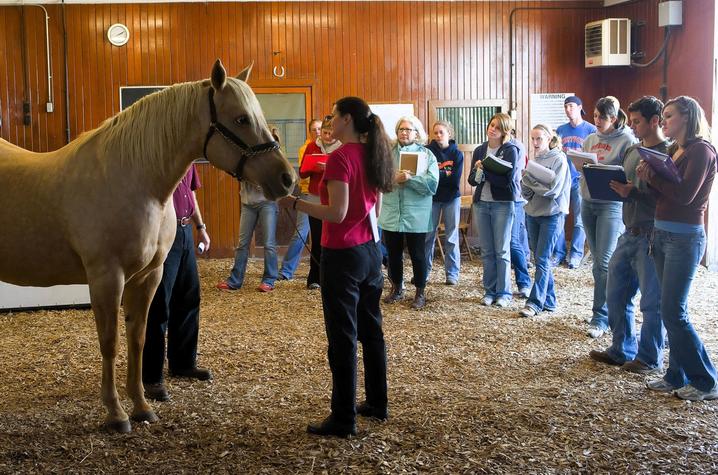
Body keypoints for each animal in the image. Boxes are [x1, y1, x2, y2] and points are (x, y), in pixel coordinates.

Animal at [0, 58, 296, 432]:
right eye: (241, 118)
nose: (287, 178)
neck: (133, 179)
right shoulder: (106, 277)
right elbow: (110, 342)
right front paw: (115, 413)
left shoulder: (148, 276)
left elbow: (138, 338)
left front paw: (141, 406)